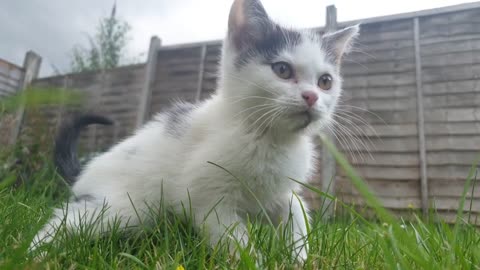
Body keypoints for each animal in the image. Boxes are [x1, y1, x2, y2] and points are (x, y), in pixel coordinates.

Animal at [30, 0, 358, 262]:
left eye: (326, 81)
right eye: (282, 70)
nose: (311, 97)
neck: (269, 137)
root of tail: (89, 167)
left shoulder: (280, 191)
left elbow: (297, 210)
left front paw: (299, 257)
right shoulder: (207, 198)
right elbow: (235, 239)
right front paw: (256, 261)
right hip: (124, 208)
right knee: (69, 219)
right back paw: (37, 253)